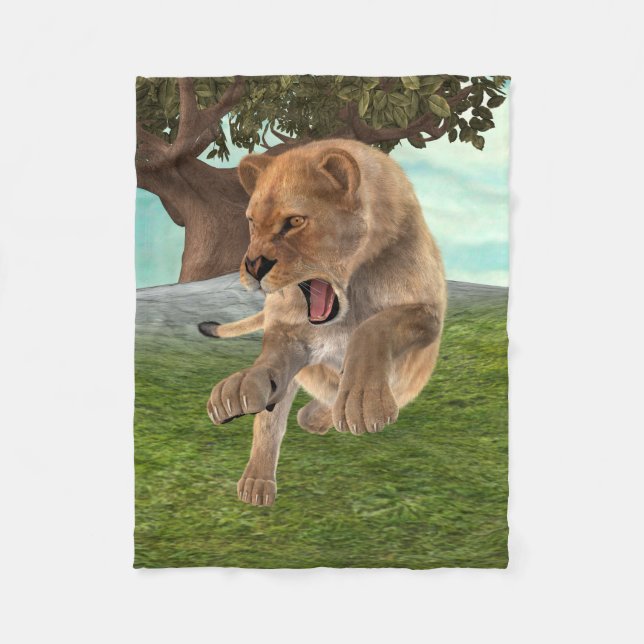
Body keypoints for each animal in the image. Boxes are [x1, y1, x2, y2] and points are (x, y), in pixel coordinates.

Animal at [198, 139, 446, 506]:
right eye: (252, 222)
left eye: (295, 221)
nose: (254, 266)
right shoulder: (289, 333)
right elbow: (270, 375)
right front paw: (241, 386)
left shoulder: (428, 313)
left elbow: (374, 327)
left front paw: (362, 401)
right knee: (274, 418)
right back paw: (257, 481)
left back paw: (317, 416)